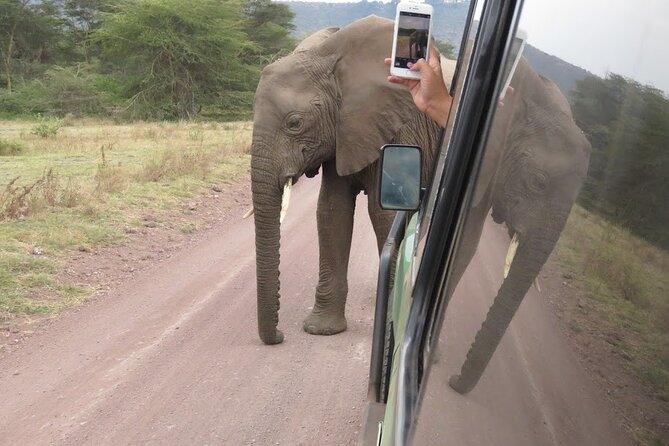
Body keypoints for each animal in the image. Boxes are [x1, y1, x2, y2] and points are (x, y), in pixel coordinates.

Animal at [249, 16, 442, 345]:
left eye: (295, 124)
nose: (279, 336)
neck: (328, 59)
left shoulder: (396, 127)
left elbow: (384, 213)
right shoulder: (340, 131)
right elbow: (331, 211)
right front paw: (322, 330)